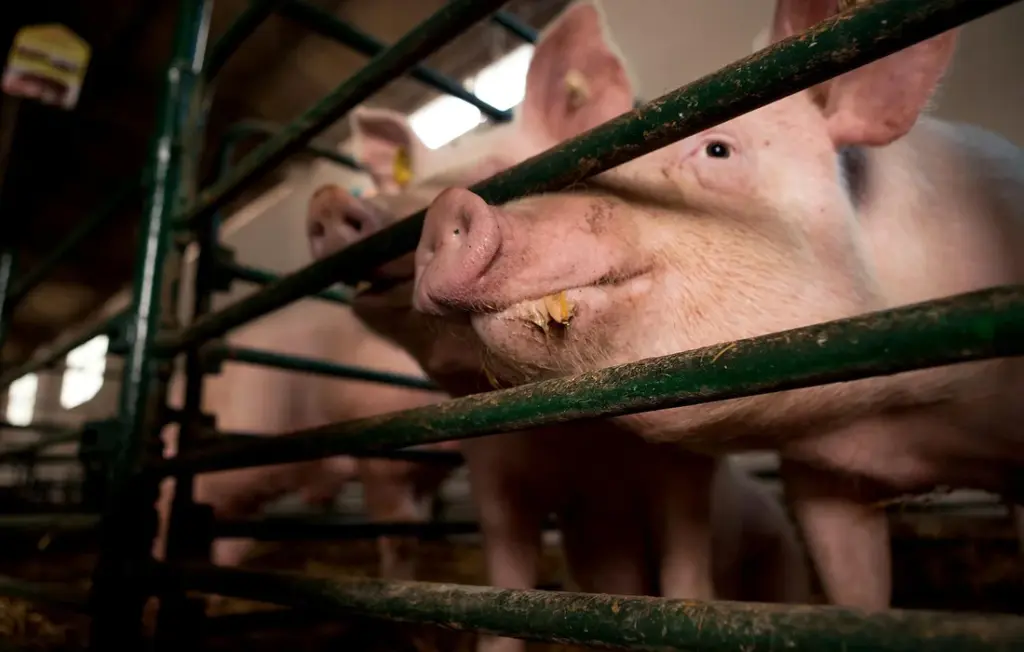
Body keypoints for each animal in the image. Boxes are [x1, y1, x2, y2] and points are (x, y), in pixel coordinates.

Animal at [308, 5, 812, 651]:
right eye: (401, 184)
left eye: (509, 175)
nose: (327, 201)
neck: (577, 445)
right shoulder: (496, 476)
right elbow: (504, 591)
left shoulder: (683, 470)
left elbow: (686, 574)